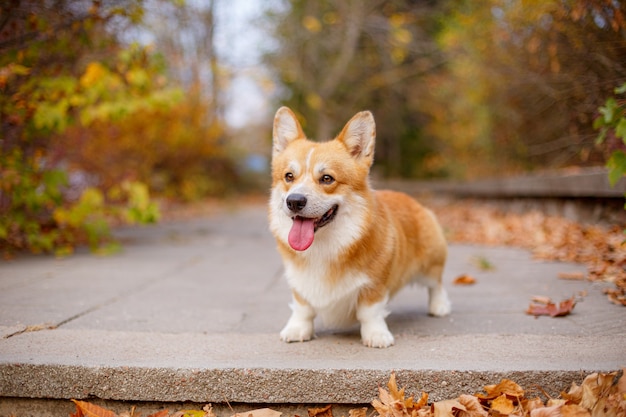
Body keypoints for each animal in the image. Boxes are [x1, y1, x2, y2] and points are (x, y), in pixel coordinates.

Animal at [268, 105, 448, 346]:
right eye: (289, 176)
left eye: (327, 178)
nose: (294, 201)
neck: (323, 246)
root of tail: (411, 199)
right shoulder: (299, 282)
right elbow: (302, 307)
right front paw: (298, 329)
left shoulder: (374, 284)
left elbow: (370, 312)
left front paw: (376, 335)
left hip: (430, 262)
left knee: (436, 283)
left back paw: (440, 306)